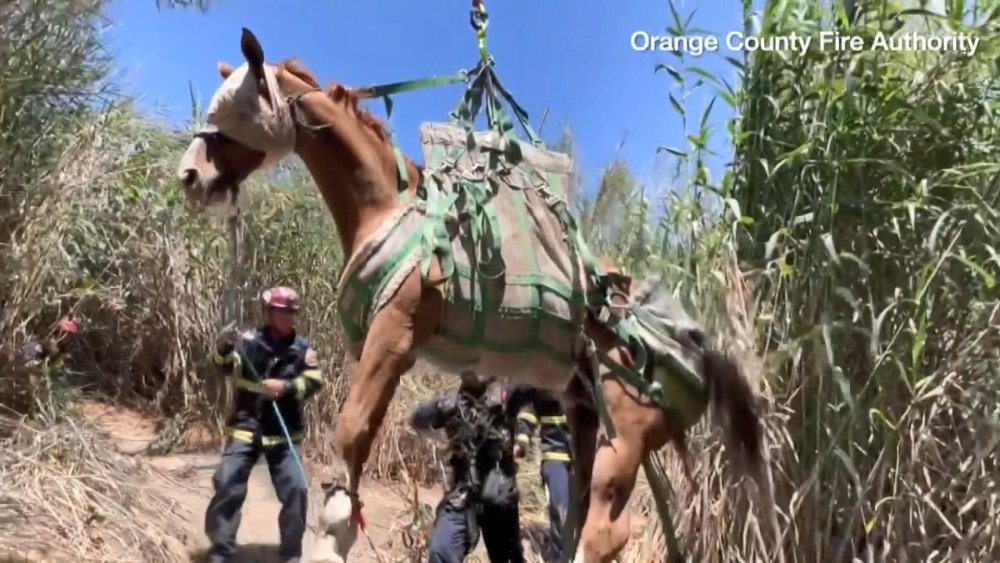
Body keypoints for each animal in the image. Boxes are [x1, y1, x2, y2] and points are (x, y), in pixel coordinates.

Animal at [176, 28, 760, 560]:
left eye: (232, 113)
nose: (189, 175)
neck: (386, 206)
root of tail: (697, 348)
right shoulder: (380, 348)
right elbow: (360, 434)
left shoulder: (393, 336)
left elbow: (350, 430)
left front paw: (333, 534)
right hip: (586, 412)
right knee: (578, 511)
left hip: (628, 435)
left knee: (605, 531)